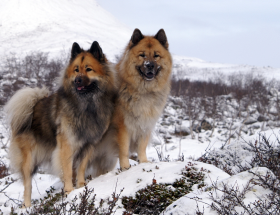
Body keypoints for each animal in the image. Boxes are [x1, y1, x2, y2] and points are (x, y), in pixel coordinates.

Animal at [4, 40, 116, 207]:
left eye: (88, 69)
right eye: (76, 70)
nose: (77, 80)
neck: (86, 105)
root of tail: (32, 107)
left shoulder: (88, 145)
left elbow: (81, 168)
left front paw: (81, 187)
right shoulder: (66, 147)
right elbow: (68, 171)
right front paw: (69, 191)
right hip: (28, 160)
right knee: (27, 185)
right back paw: (27, 207)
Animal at [88, 28, 173, 173]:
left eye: (156, 55)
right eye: (142, 55)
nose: (149, 65)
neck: (143, 91)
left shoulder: (145, 124)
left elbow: (142, 147)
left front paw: (144, 162)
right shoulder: (123, 127)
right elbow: (124, 149)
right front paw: (125, 167)